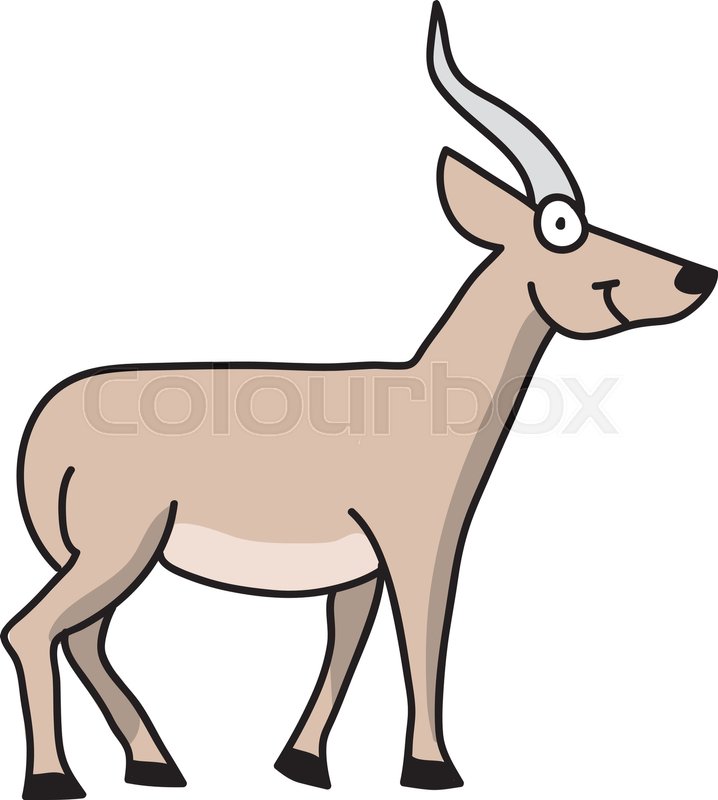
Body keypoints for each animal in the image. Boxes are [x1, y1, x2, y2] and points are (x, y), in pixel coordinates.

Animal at [4, 4, 716, 798]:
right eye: (561, 226)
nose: (697, 275)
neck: (427, 395)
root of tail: (46, 425)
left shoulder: (357, 569)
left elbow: (346, 647)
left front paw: (303, 763)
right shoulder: (419, 542)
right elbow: (423, 640)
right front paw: (432, 768)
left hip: (114, 552)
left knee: (84, 635)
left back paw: (156, 763)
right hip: (122, 544)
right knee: (34, 629)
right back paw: (57, 779)